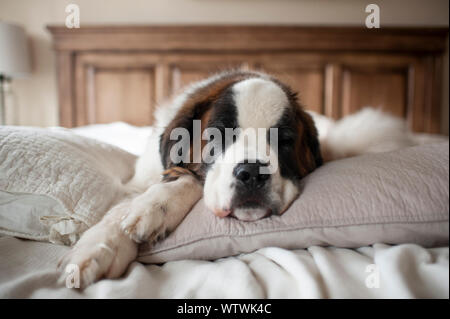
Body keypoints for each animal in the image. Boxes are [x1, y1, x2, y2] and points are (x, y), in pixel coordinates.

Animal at [59, 69, 414, 288]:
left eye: (284, 141)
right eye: (217, 136)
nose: (253, 172)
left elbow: (190, 180)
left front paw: (154, 208)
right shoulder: (137, 181)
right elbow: (130, 204)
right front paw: (102, 247)